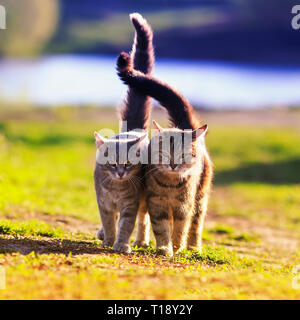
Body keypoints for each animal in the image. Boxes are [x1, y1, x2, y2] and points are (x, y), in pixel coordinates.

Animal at [94, 11, 155, 252]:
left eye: (128, 164)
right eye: (112, 164)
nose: (120, 173)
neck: (117, 189)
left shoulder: (131, 204)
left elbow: (126, 224)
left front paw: (120, 244)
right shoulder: (104, 203)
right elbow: (109, 222)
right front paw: (109, 238)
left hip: (145, 198)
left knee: (144, 219)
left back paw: (141, 240)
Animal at [116, 52, 213, 258]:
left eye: (183, 154)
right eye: (165, 153)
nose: (174, 165)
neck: (170, 186)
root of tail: (184, 125)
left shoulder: (184, 205)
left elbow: (181, 229)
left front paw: (176, 247)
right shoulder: (156, 203)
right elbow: (161, 228)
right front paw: (164, 248)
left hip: (200, 197)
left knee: (196, 224)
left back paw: (194, 248)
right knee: (143, 218)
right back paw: (141, 241)